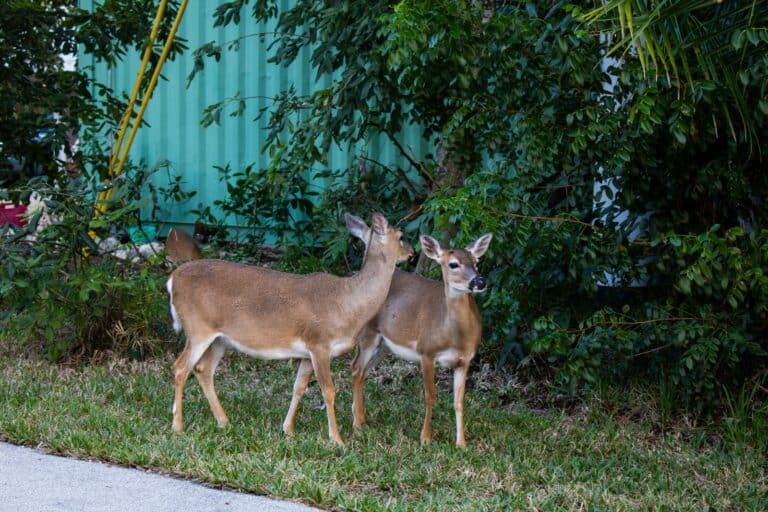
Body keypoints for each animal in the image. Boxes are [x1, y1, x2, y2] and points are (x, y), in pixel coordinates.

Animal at [167, 212, 413, 445]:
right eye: (401, 236)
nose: (411, 254)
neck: (348, 303)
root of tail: (172, 279)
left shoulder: (307, 352)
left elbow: (299, 387)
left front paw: (288, 430)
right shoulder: (319, 342)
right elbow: (328, 391)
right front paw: (337, 439)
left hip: (220, 339)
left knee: (203, 369)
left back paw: (223, 421)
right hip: (198, 329)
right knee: (181, 367)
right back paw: (178, 426)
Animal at [346, 214, 492, 447]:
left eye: (476, 262)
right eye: (453, 264)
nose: (479, 281)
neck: (455, 336)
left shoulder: (465, 360)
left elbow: (459, 401)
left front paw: (461, 443)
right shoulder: (427, 351)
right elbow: (430, 395)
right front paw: (425, 439)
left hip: (385, 345)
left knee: (363, 371)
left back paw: (359, 416)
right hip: (369, 333)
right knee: (356, 368)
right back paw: (358, 424)